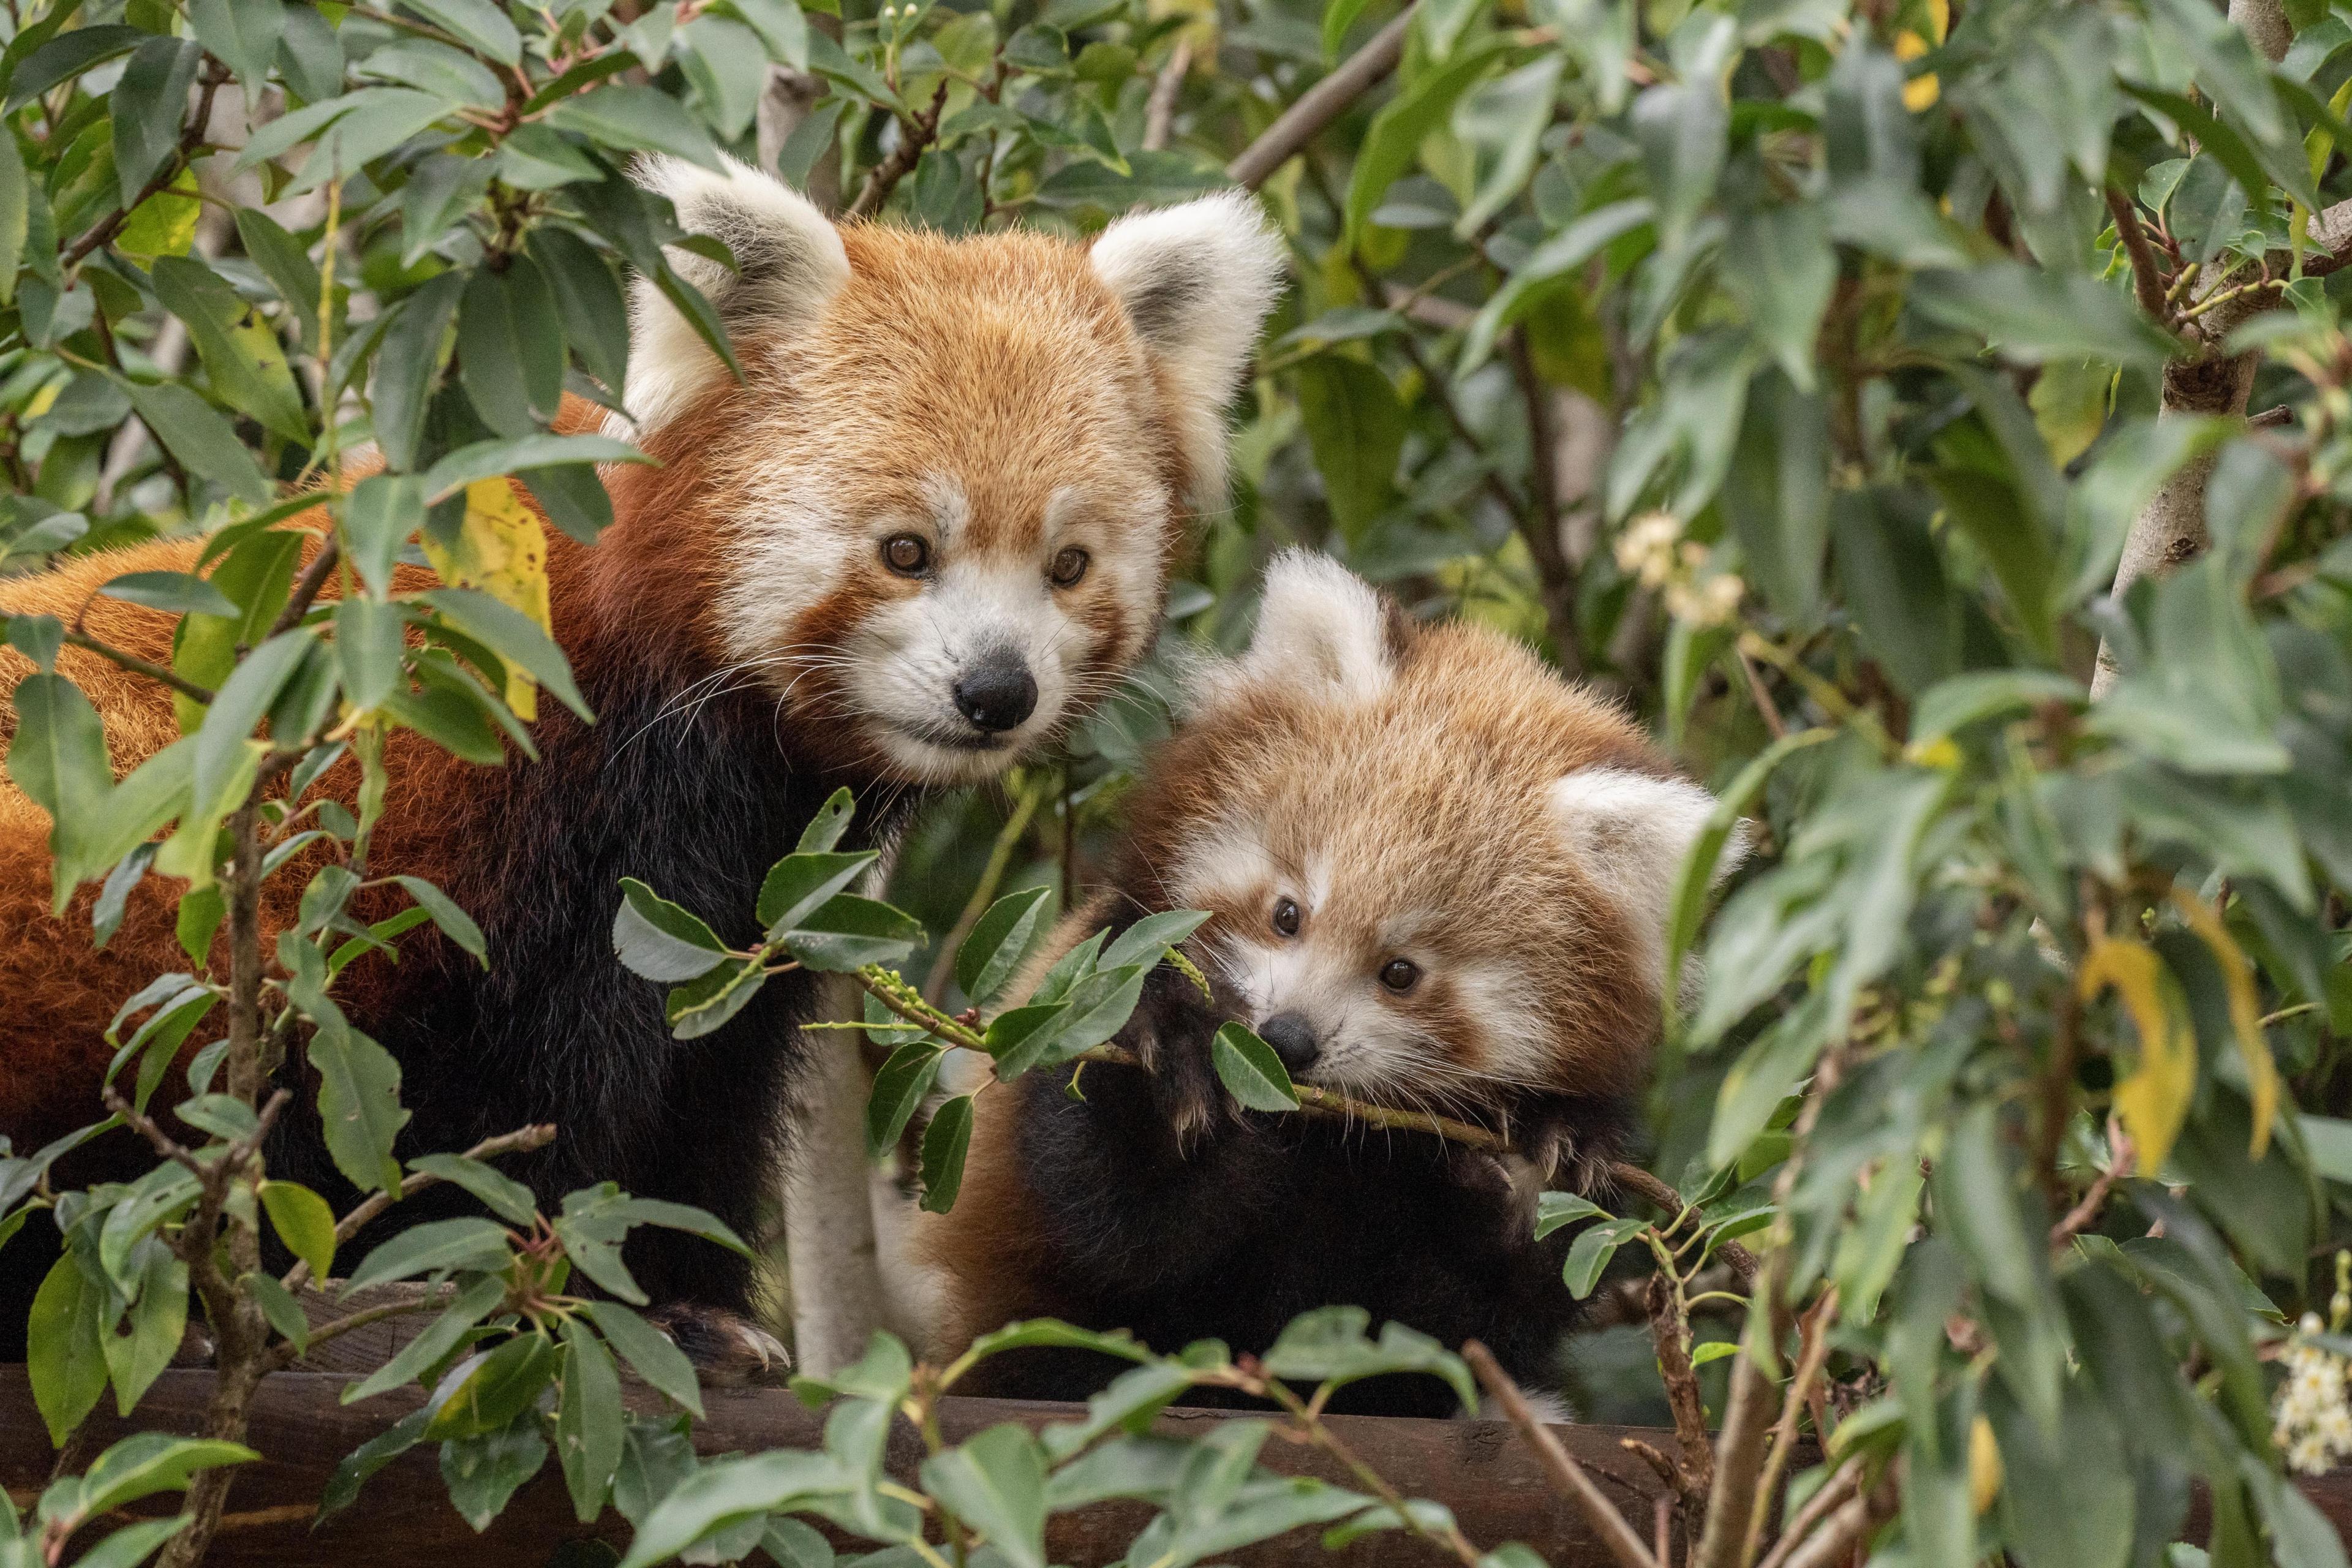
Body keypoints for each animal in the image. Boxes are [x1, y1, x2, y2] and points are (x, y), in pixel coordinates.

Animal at [0, 159, 1289, 1363]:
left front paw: (694, 1301)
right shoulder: (545, 842)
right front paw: (570, 1293)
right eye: (906, 550)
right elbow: (535, 1106)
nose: (996, 690)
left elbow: (708, 1085)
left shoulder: (754, 885)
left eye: (1068, 566)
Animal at [917, 554, 1749, 1420]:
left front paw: (1543, 1157)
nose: (1286, 1039)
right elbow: (1121, 1217)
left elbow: (1470, 1313)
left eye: (1401, 972)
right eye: (1288, 914)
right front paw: (1172, 1057)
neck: (1320, 1140)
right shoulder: (1094, 977)